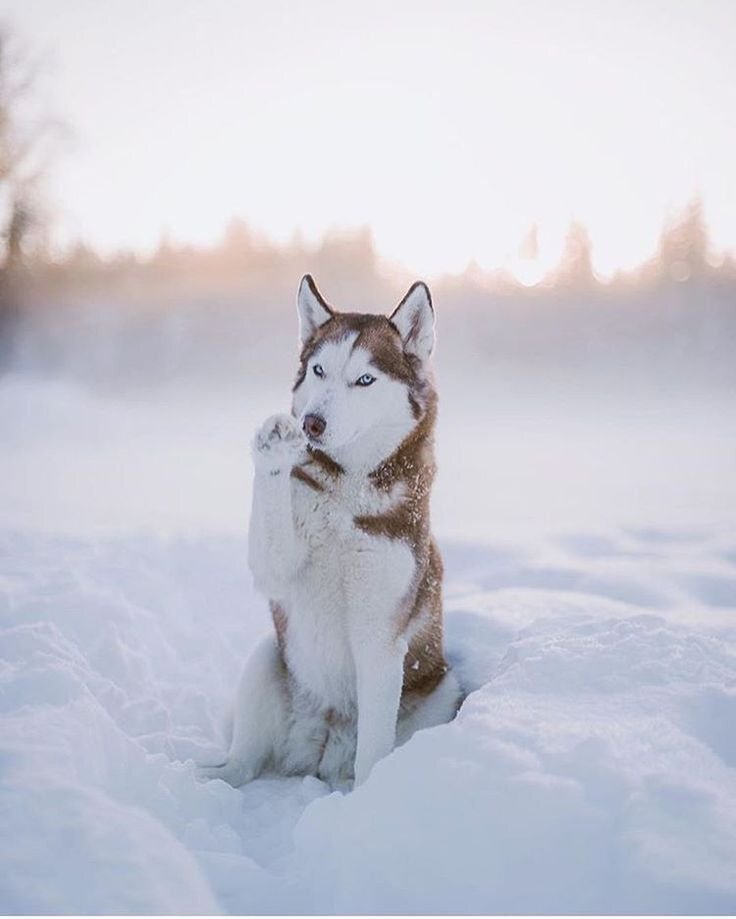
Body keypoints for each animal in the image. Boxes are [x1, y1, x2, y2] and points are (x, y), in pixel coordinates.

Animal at [201, 276, 460, 788]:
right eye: (319, 370)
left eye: (365, 379)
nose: (311, 423)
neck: (347, 494)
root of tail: (323, 741)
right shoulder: (277, 568)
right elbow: (270, 550)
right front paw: (274, 449)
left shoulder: (380, 640)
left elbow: (374, 748)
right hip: (267, 657)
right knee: (243, 761)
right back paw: (209, 778)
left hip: (445, 689)